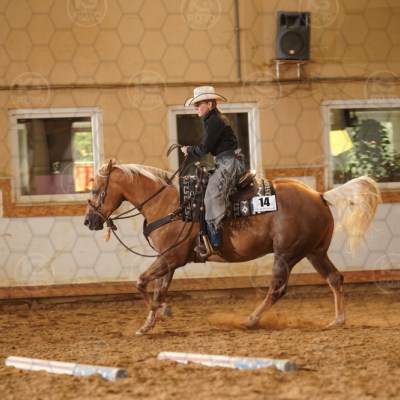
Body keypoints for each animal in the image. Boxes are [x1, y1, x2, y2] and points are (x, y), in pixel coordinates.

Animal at [84, 159, 381, 335]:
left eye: (97, 190)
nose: (88, 221)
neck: (170, 204)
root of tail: (320, 195)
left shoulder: (171, 258)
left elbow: (141, 282)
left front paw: (163, 311)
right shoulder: (168, 260)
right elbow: (157, 289)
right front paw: (148, 324)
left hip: (286, 255)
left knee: (277, 289)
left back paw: (250, 320)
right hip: (314, 252)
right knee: (335, 278)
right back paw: (338, 321)